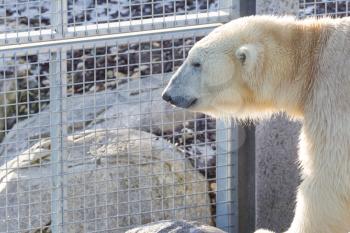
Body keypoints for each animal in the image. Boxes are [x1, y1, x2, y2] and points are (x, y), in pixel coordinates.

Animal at [163, 15, 350, 232]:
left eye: (196, 63)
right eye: (190, 57)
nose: (167, 94)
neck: (309, 58)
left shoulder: (332, 96)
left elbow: (330, 179)